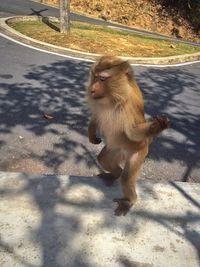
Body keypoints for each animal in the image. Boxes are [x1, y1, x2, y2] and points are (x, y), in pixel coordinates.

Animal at [86, 55, 170, 217]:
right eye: (94, 77)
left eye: (102, 79)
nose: (92, 89)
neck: (112, 99)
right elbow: (96, 117)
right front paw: (92, 134)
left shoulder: (130, 107)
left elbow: (133, 131)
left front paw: (156, 127)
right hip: (114, 150)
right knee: (103, 158)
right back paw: (115, 173)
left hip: (139, 152)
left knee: (126, 178)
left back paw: (130, 201)